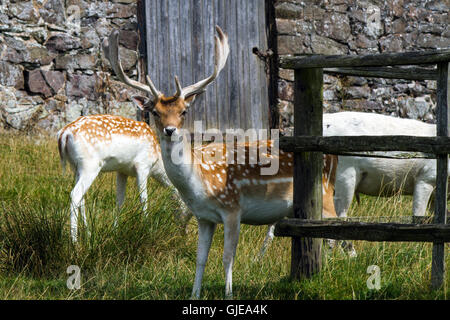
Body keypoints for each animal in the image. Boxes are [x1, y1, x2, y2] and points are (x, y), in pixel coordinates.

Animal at [103, 26, 342, 298]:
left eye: (184, 111)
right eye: (155, 112)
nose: (170, 130)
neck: (201, 181)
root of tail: (332, 154)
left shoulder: (232, 209)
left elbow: (228, 257)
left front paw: (228, 293)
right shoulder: (204, 217)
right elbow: (200, 258)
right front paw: (194, 294)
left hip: (324, 196)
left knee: (338, 231)